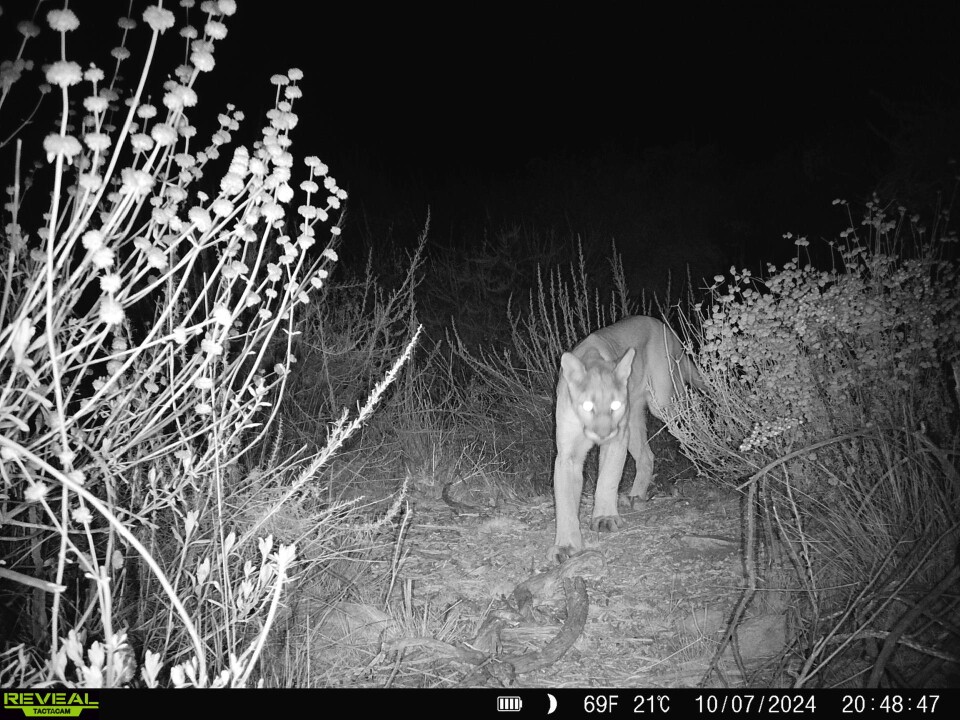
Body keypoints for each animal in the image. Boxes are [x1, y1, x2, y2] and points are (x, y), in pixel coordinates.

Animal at [548, 315, 703, 562]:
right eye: (587, 405)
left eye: (615, 405)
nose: (603, 433)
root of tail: (664, 327)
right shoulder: (567, 454)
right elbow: (564, 501)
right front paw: (565, 546)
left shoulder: (616, 441)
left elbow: (608, 478)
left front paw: (604, 518)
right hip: (633, 422)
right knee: (647, 456)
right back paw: (636, 495)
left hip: (664, 403)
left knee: (690, 421)